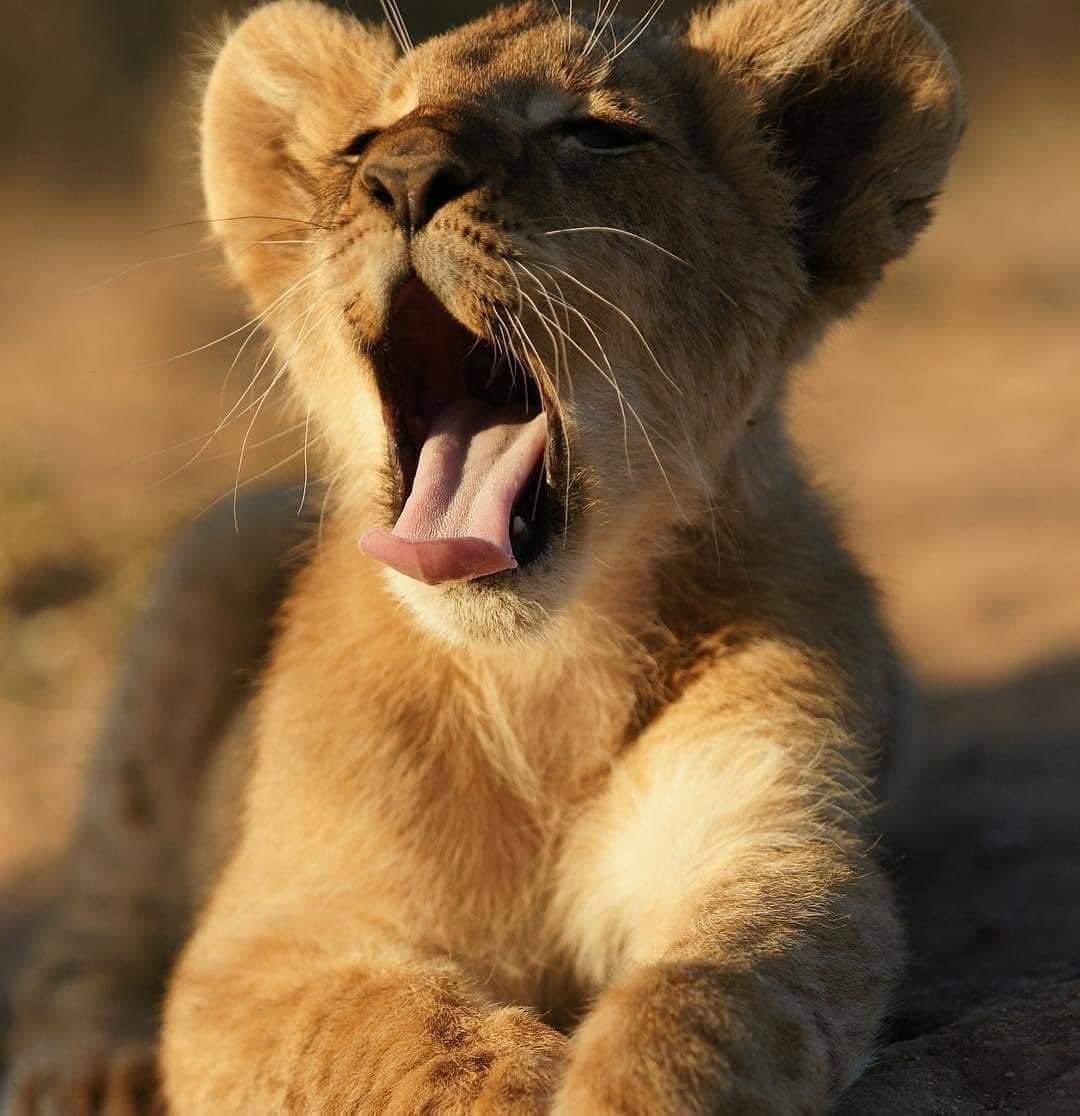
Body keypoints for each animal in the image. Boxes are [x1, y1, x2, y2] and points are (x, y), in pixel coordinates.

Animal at [3, 1, 963, 1112]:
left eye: (597, 133)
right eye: (361, 145)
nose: (405, 178)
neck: (543, 675)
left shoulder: (768, 842)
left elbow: (708, 1000)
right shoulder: (258, 946)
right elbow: (396, 1030)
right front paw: (514, 1076)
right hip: (210, 564)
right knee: (102, 895)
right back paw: (87, 1067)